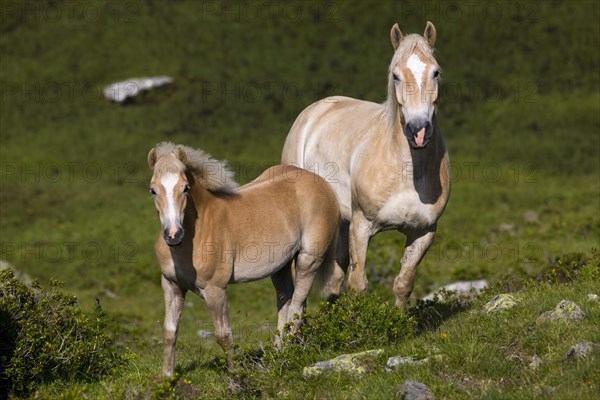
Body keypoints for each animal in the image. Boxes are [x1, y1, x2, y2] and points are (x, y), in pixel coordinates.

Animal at [148, 142, 340, 376]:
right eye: (153, 190)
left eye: (185, 188)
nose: (173, 234)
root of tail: (322, 183)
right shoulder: (172, 286)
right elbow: (170, 332)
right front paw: (166, 378)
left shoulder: (215, 290)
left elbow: (223, 335)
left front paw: (235, 377)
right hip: (280, 267)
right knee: (287, 302)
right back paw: (277, 354)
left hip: (308, 261)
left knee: (296, 308)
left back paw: (287, 356)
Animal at [282, 22, 450, 310]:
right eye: (395, 75)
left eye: (435, 72)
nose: (418, 131)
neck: (407, 173)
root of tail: (317, 108)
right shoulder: (361, 226)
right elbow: (358, 285)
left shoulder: (424, 232)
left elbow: (403, 283)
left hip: (341, 222)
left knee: (334, 280)